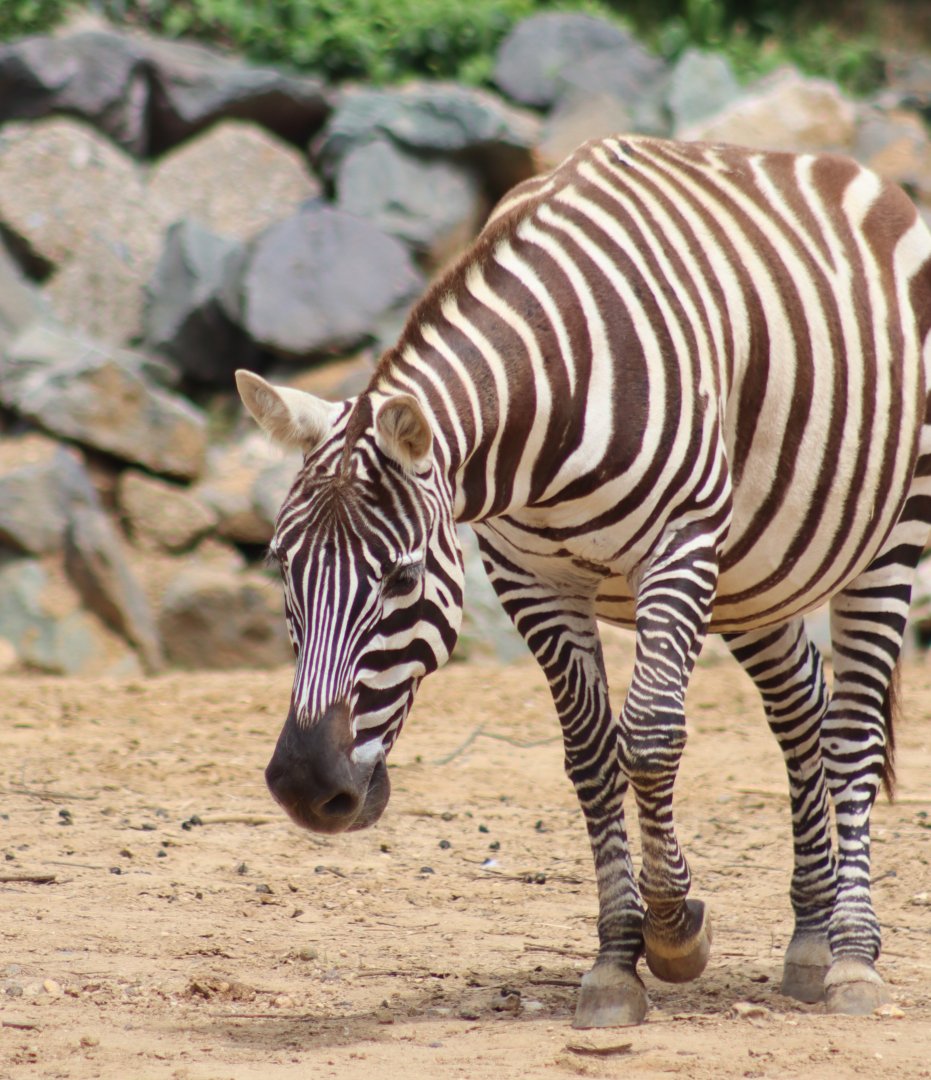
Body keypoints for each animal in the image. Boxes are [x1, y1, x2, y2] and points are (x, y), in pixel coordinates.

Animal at [236, 135, 931, 1027]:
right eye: (280, 565)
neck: (545, 401)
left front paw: (674, 932)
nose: (302, 786)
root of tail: (856, 172)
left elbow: (651, 738)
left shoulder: (679, 543)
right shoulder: (529, 575)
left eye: (400, 577)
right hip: (753, 571)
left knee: (851, 730)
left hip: (890, 530)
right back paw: (810, 939)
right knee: (800, 709)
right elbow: (590, 755)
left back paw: (850, 957)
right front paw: (615, 962)